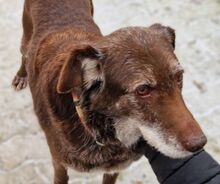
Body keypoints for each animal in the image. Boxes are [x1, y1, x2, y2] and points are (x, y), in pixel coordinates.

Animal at [12, 0, 208, 183]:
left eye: (179, 77)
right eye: (143, 90)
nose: (200, 144)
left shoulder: (115, 169)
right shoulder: (60, 166)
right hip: (25, 37)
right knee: (24, 54)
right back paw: (22, 75)